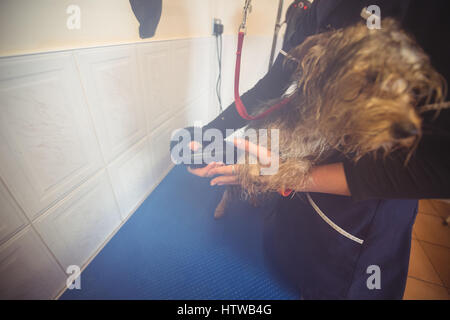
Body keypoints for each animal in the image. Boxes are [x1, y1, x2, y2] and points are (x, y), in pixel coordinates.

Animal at [214, 18, 446, 219]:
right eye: (372, 76)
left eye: (412, 88)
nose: (411, 130)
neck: (311, 127)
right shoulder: (260, 133)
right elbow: (250, 156)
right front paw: (253, 168)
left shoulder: (313, 155)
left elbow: (301, 165)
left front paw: (282, 173)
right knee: (228, 191)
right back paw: (221, 208)